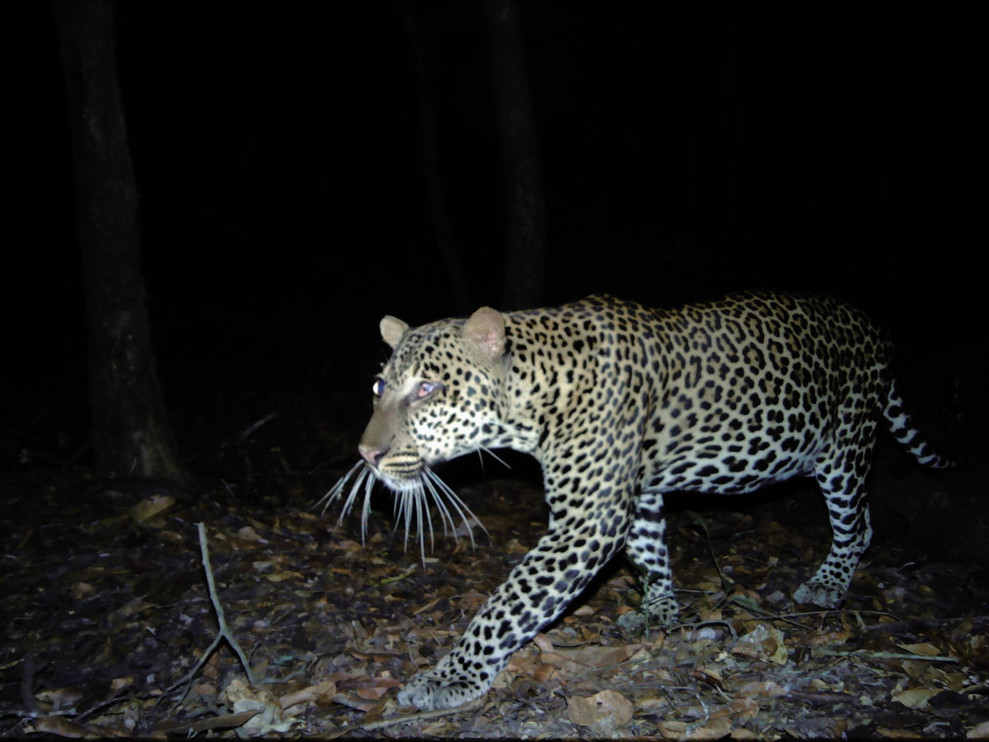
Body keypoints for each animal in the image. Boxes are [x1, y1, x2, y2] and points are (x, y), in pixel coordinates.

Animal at [321, 292, 953, 711]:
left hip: (842, 447)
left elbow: (505, 605)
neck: (535, 396)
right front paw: (658, 613)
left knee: (857, 522)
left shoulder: (586, 521)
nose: (366, 454)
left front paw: (448, 677)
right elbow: (650, 553)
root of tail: (872, 326)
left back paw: (827, 584)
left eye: (427, 390)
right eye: (379, 387)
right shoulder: (638, 493)